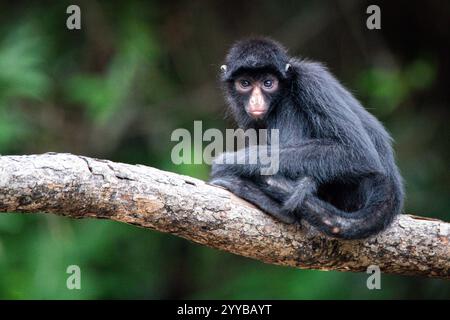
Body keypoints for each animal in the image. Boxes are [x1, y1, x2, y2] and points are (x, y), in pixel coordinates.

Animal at [210, 37, 404, 239]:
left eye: (268, 83)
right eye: (245, 83)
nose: (256, 101)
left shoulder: (311, 80)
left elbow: (358, 153)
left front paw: (231, 162)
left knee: (288, 104)